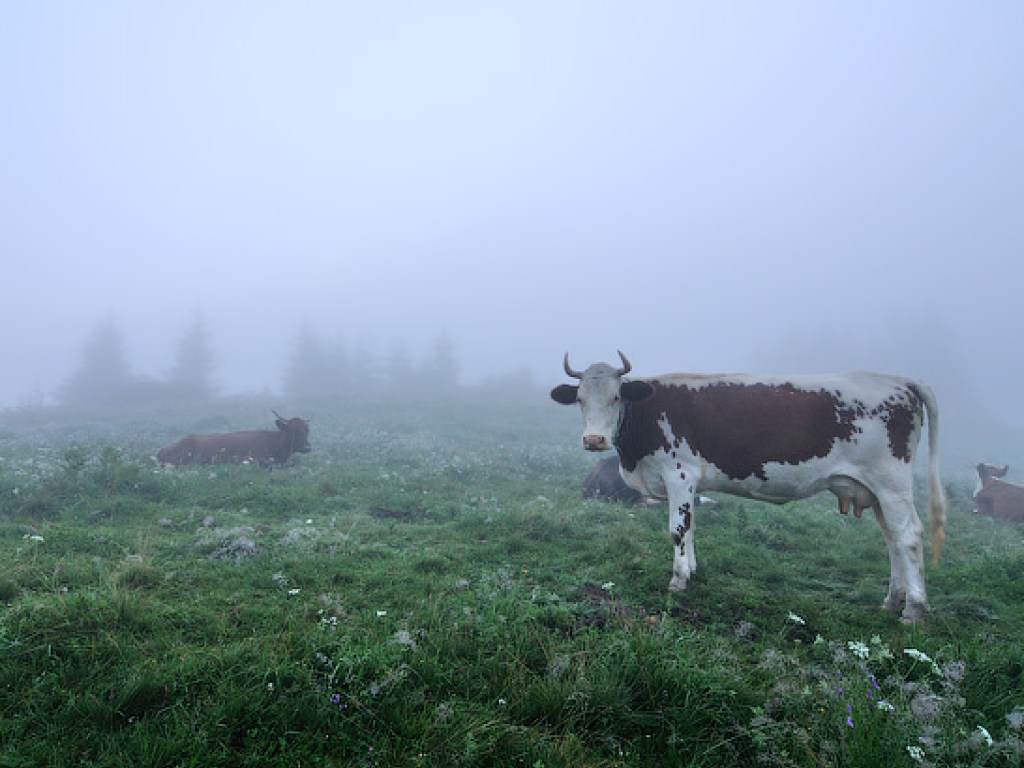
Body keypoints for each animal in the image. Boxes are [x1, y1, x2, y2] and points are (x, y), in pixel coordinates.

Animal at [557, 352, 946, 622]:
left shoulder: (678, 475)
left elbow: (678, 529)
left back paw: (914, 608)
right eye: (579, 399)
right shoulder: (688, 483)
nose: (594, 440)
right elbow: (692, 527)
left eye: (616, 398)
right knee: (892, 539)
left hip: (892, 484)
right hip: (876, 490)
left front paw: (679, 579)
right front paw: (693, 570)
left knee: (909, 535)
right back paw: (892, 600)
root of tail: (899, 381)